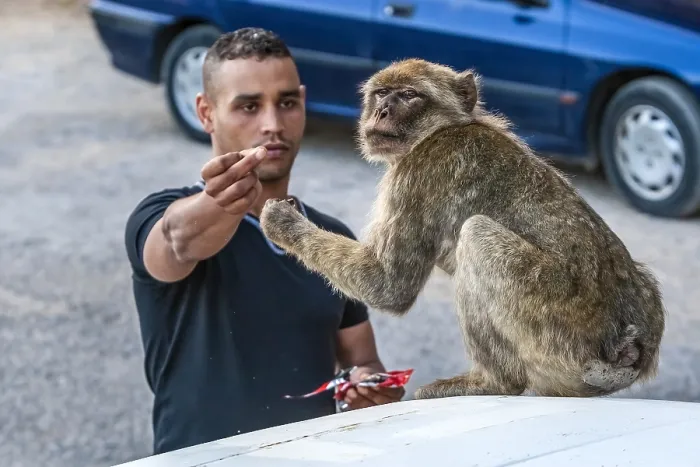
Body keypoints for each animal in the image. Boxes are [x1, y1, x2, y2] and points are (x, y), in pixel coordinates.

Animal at [259, 58, 666, 400]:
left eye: (409, 95)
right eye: (381, 93)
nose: (381, 111)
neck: (444, 127)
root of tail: (626, 348)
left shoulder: (418, 172)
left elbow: (388, 286)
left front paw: (283, 223)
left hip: (558, 329)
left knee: (476, 237)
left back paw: (492, 382)